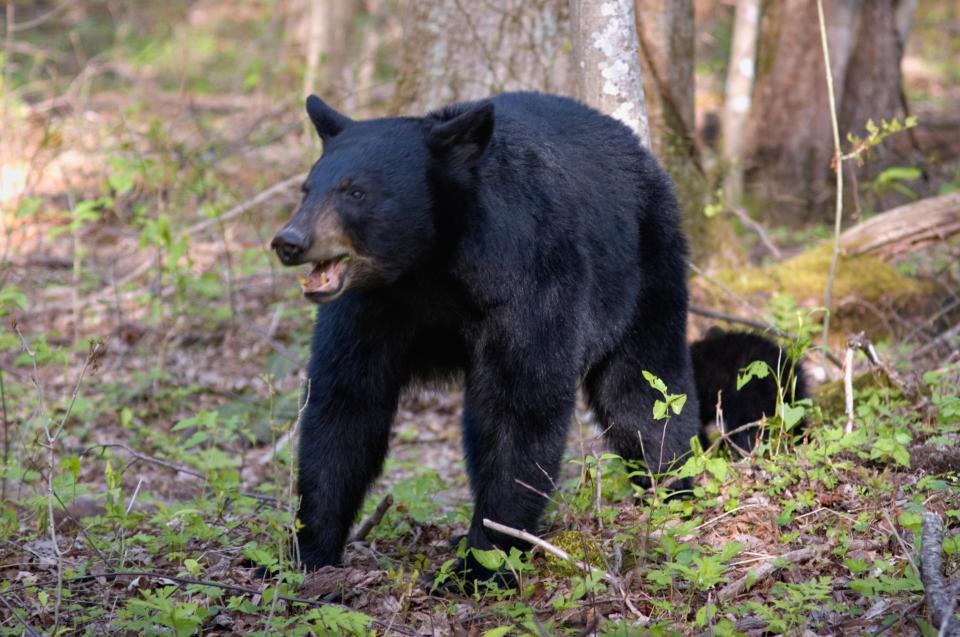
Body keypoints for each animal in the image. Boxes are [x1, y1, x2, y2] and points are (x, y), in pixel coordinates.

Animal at [274, 90, 700, 588]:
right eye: (307, 189)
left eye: (355, 191)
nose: (289, 240)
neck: (427, 271)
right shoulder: (369, 308)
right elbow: (345, 405)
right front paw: (308, 551)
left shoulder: (526, 283)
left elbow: (520, 407)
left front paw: (482, 562)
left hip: (647, 268)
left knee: (643, 392)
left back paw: (673, 491)